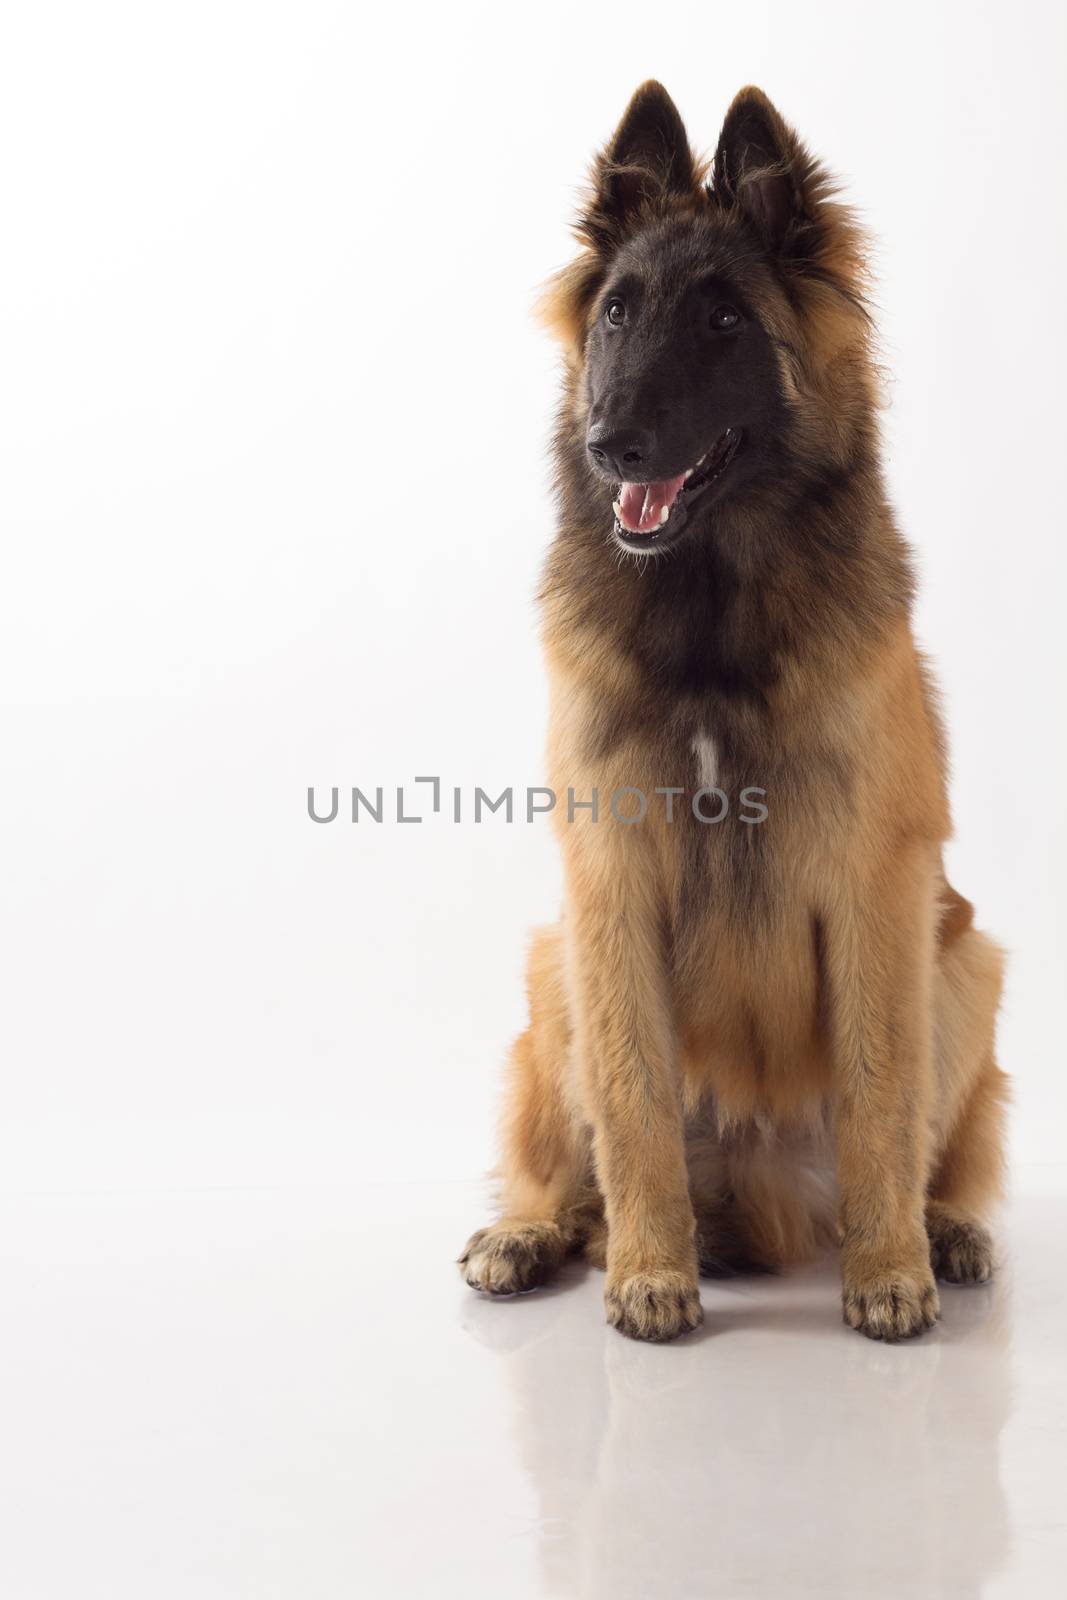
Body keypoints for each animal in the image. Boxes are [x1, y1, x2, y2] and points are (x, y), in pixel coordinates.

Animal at [460, 81, 1011, 1344]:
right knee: (565, 1167)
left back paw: (939, 1229)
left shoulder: (877, 883)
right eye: (616, 312)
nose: (611, 441)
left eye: (722, 321)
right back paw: (532, 1232)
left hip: (966, 959)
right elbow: (631, 1102)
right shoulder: (607, 885)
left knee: (934, 1142)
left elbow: (877, 1089)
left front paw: (886, 1270)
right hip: (552, 965)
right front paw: (649, 1270)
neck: (710, 610)